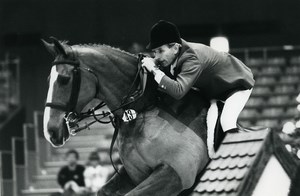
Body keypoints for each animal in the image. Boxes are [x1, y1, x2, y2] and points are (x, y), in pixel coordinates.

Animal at [42, 37, 212, 195]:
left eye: (64, 80)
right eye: (48, 80)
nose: (50, 132)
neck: (143, 108)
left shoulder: (174, 174)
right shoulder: (133, 174)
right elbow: (104, 191)